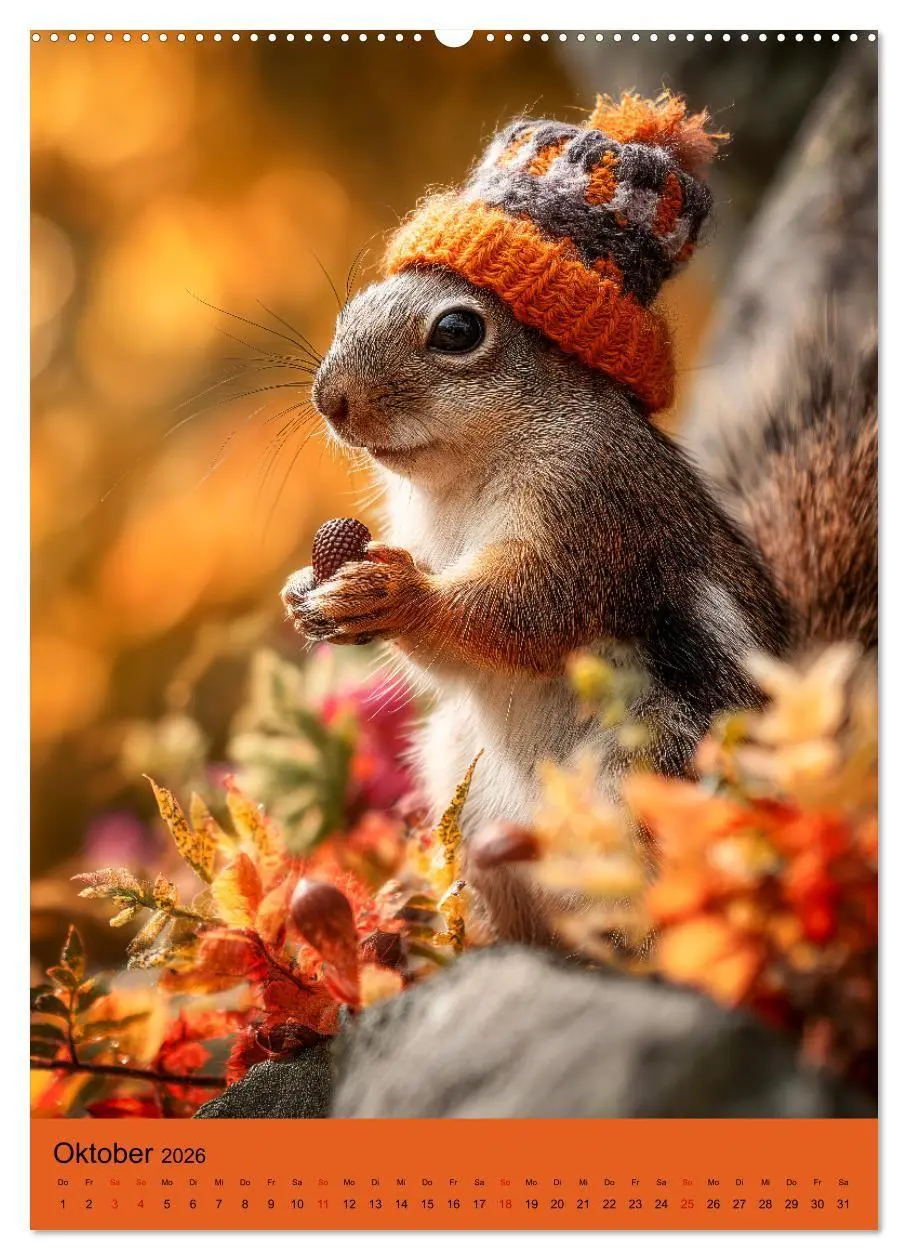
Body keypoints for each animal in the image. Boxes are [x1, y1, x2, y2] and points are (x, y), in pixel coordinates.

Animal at [281, 91, 877, 944]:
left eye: (458, 331)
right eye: (353, 305)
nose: (330, 399)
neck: (462, 475)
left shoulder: (593, 509)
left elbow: (528, 611)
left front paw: (399, 595)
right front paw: (307, 590)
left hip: (648, 769)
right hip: (461, 775)